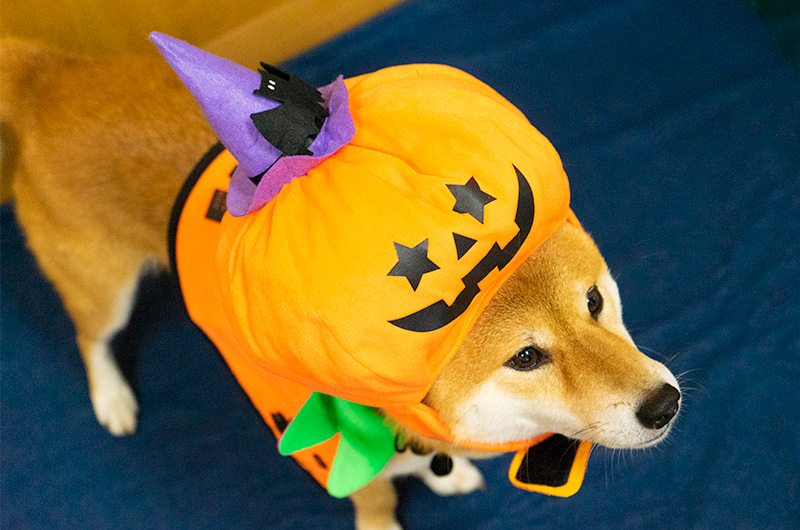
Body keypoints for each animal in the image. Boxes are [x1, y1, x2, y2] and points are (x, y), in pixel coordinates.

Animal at [0, 38, 680, 528]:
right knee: (91, 339)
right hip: (104, 290)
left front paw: (445, 472)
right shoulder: (343, 460)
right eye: (526, 357)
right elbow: (376, 501)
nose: (664, 403)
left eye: (594, 301)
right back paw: (112, 398)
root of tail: (47, 75)